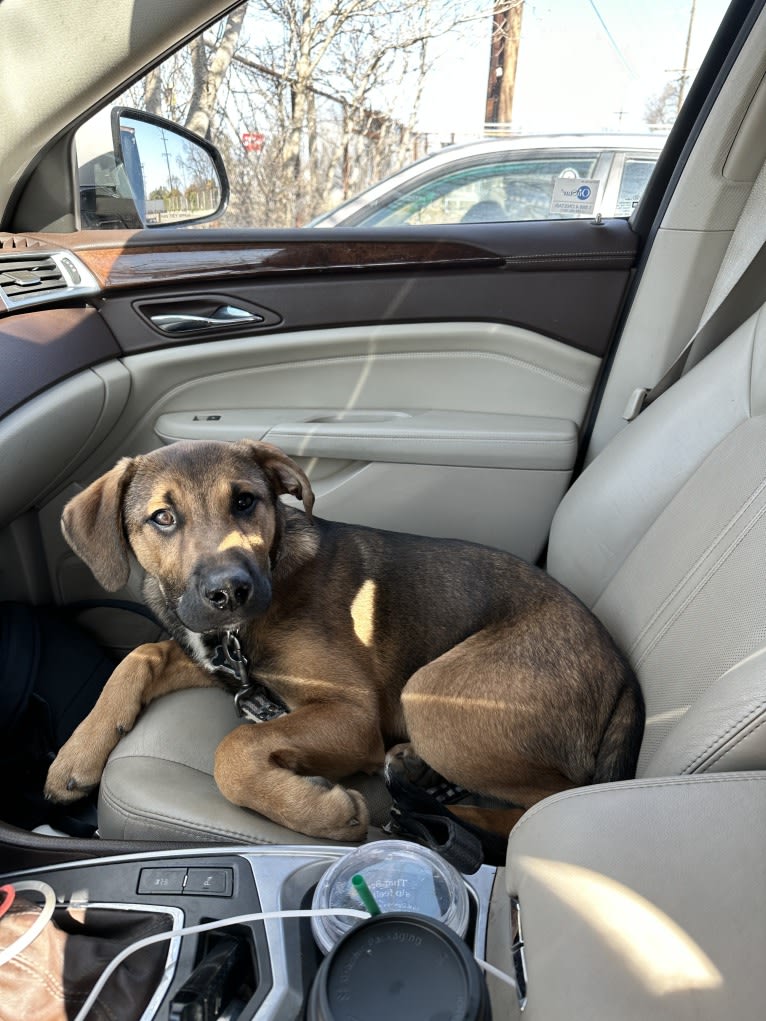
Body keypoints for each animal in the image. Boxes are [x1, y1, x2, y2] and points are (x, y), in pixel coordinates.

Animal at [44, 443, 645, 841]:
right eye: (163, 518)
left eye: (245, 502)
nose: (231, 591)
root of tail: (621, 671)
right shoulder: (219, 659)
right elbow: (140, 656)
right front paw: (75, 755)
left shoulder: (352, 715)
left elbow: (235, 748)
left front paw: (323, 813)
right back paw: (417, 776)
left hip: (431, 693)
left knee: (554, 798)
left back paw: (443, 816)